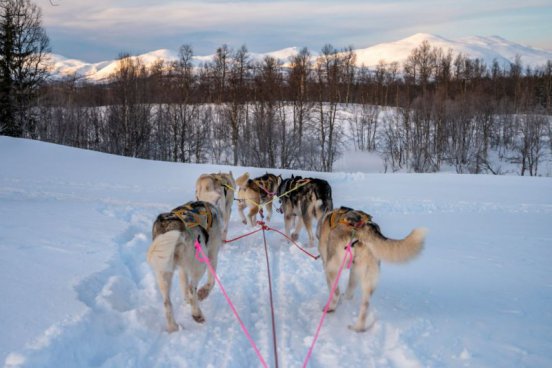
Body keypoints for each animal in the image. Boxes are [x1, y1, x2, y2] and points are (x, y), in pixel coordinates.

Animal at [149, 201, 224, 334]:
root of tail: (170, 224)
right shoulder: (212, 255)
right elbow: (211, 281)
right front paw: (203, 293)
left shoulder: (182, 268)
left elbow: (183, 285)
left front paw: (187, 300)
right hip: (200, 263)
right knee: (191, 287)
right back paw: (197, 314)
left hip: (163, 272)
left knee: (167, 302)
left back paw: (173, 327)